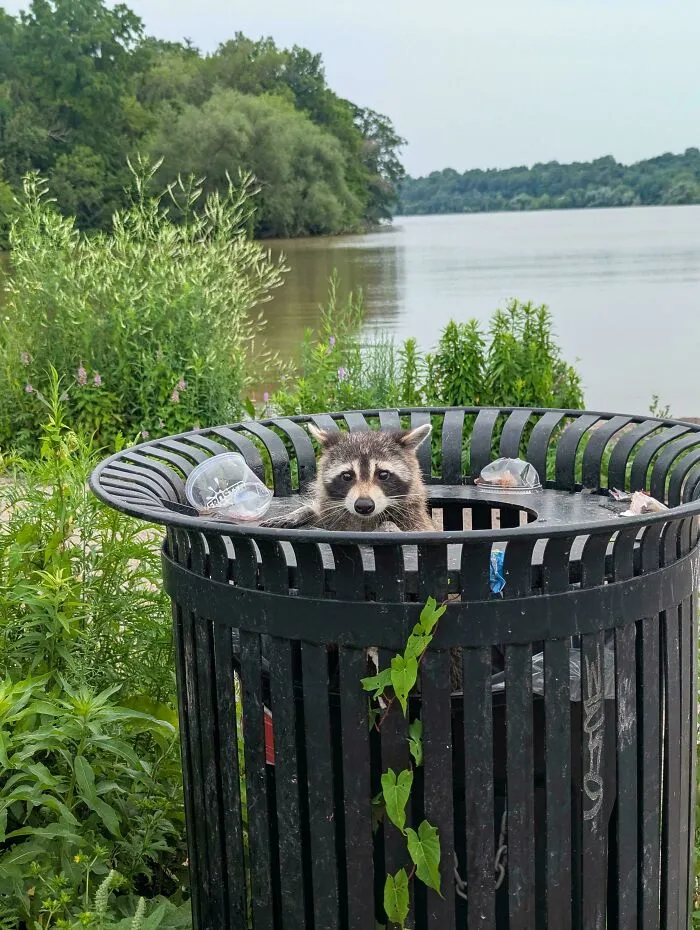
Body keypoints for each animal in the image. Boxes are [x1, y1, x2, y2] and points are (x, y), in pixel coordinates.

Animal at [261, 423, 434, 532]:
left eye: (383, 474)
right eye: (347, 476)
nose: (364, 506)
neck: (365, 519)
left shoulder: (415, 521)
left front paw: (387, 526)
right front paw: (302, 511)